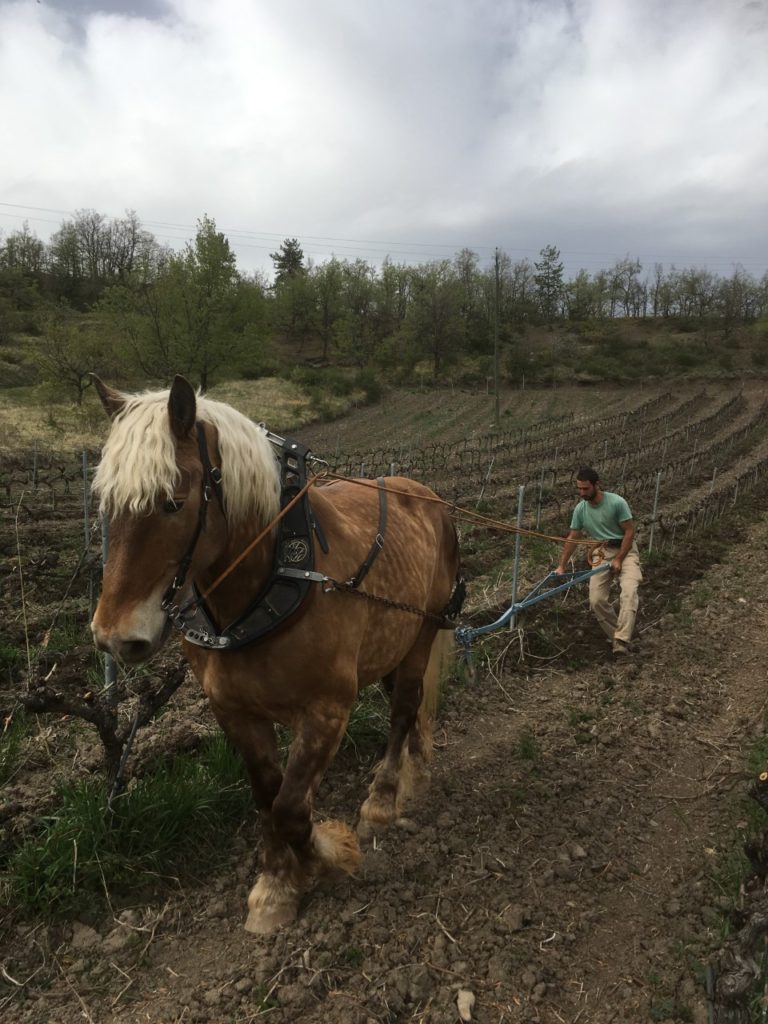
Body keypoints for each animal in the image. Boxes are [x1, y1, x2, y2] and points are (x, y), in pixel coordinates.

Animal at [90, 376, 462, 937]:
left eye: (173, 503)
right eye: (106, 503)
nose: (115, 637)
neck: (267, 585)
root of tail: (427, 495)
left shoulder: (327, 710)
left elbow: (290, 808)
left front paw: (329, 854)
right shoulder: (235, 712)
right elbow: (268, 798)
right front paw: (277, 884)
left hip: (423, 631)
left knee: (402, 711)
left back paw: (381, 800)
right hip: (390, 645)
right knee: (410, 706)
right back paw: (415, 775)